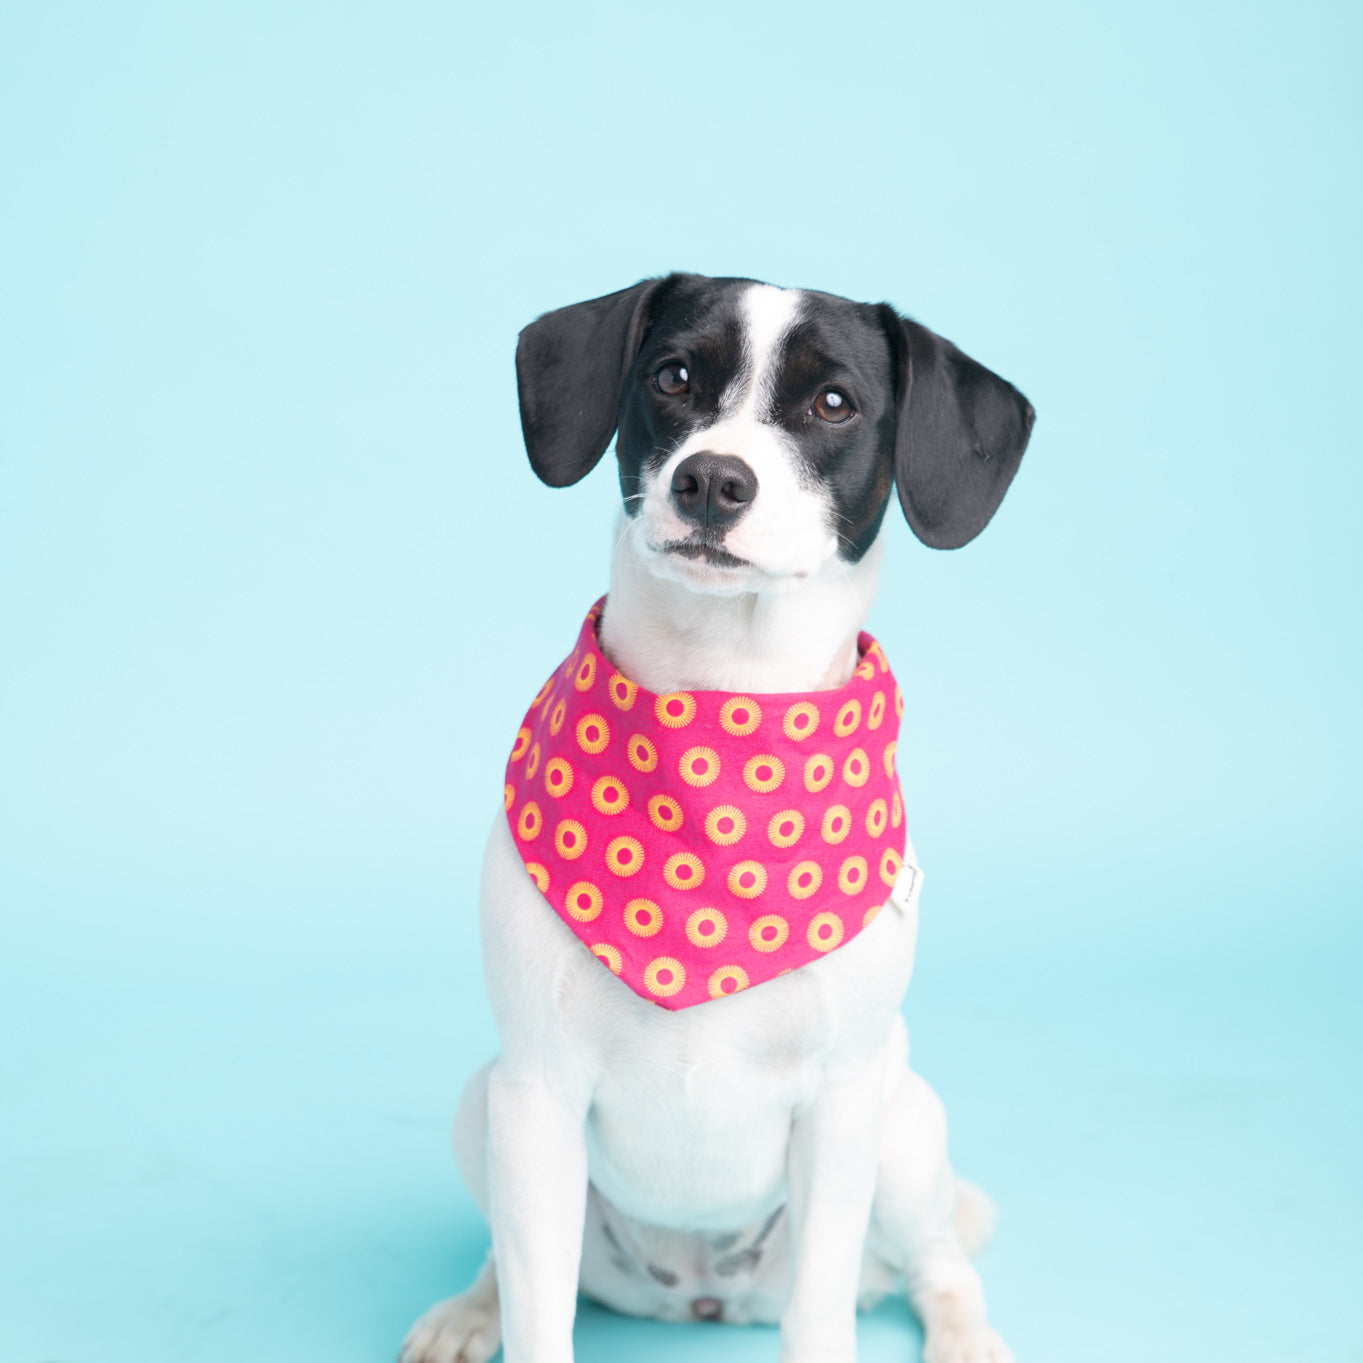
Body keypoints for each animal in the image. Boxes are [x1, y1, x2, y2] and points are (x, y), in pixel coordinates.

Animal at [403, 273, 1030, 1363]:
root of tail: (706, 1292)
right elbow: (537, 1307)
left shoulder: (838, 1107)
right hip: (484, 1107)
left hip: (902, 1131)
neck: (721, 711)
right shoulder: (535, 1097)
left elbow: (822, 1310)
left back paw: (964, 1333)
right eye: (672, 376)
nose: (712, 480)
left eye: (833, 403)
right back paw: (468, 1309)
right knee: (507, 1258)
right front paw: (500, 1315)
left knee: (938, 1260)